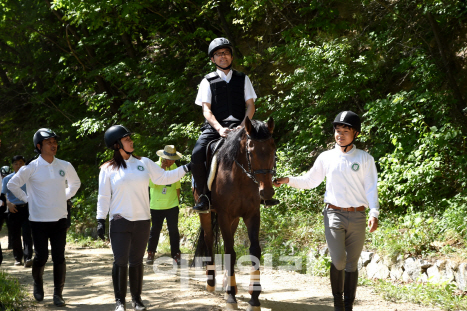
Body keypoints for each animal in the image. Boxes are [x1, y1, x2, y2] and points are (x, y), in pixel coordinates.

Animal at [193, 117, 276, 311]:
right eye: (251, 151)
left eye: (273, 148)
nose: (267, 192)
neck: (241, 178)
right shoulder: (224, 215)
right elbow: (230, 251)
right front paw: (231, 297)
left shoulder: (252, 215)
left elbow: (254, 250)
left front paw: (254, 298)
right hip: (207, 213)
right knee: (209, 240)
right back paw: (212, 283)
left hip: (235, 219)